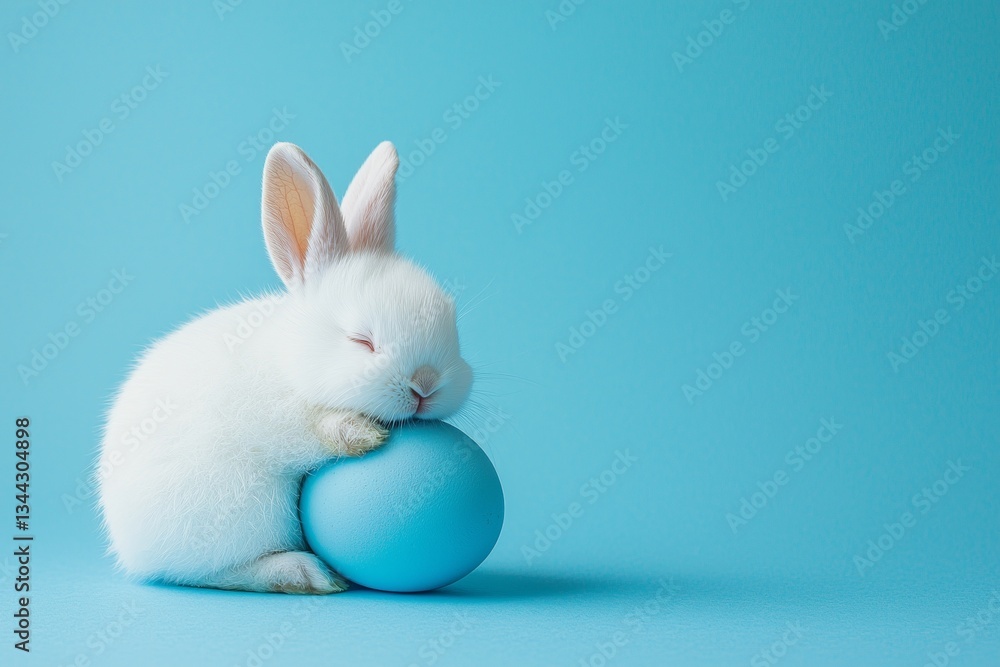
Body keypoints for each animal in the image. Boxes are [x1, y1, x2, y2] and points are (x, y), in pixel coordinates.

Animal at [97, 141, 473, 594]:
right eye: (362, 341)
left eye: (453, 329)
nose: (425, 385)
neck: (292, 365)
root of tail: (128, 547)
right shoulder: (274, 415)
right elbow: (310, 426)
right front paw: (363, 434)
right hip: (244, 509)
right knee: (215, 572)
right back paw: (303, 573)